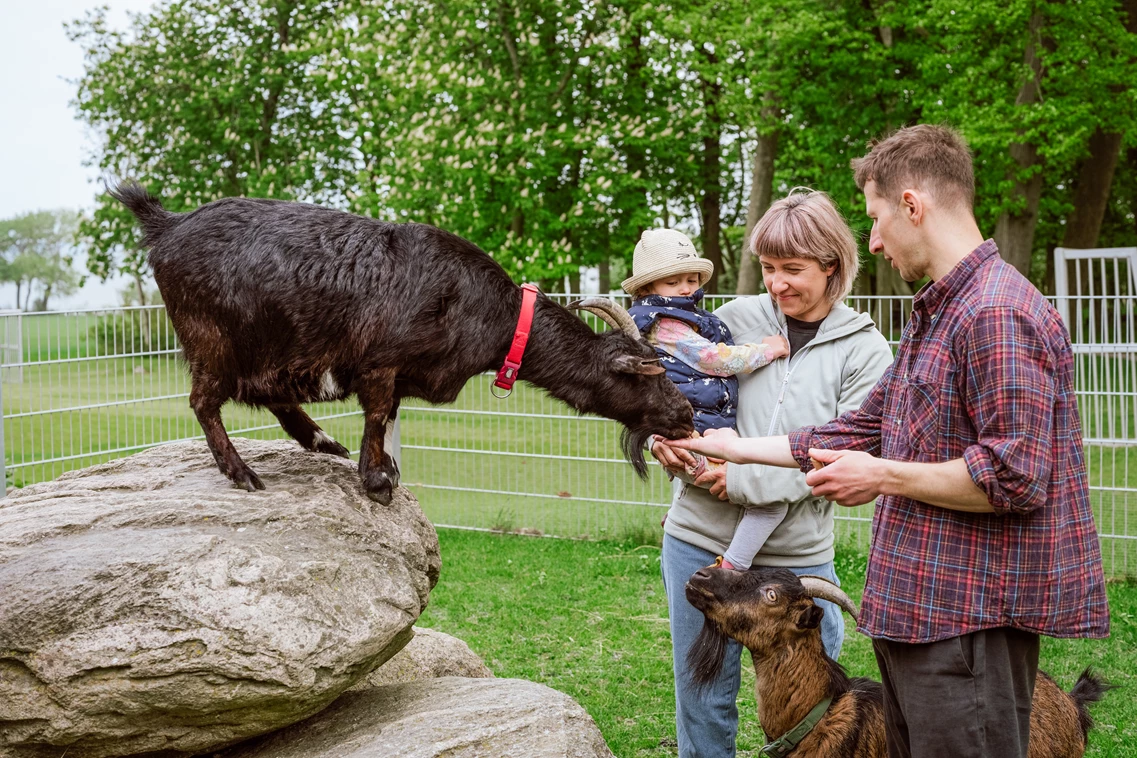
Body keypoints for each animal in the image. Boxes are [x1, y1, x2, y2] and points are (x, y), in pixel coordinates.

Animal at [110, 181, 691, 504]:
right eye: (649, 373)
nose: (685, 415)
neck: (495, 314)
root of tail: (166, 226)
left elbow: (387, 417)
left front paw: (384, 469)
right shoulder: (379, 362)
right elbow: (375, 413)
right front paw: (376, 483)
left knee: (268, 395)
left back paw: (320, 441)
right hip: (214, 340)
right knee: (205, 401)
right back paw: (244, 473)